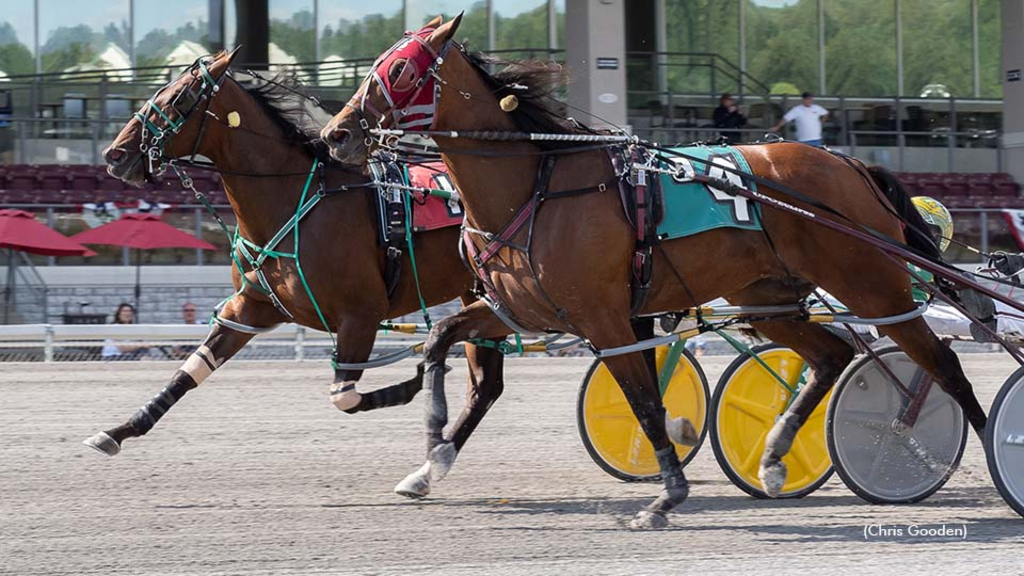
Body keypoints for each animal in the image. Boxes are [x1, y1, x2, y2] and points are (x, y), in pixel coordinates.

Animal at [82, 49, 507, 485]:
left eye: (180, 98)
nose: (115, 154)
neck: (295, 203)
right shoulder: (249, 308)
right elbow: (190, 370)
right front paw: (119, 430)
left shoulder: (361, 315)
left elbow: (345, 396)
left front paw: (412, 383)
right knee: (485, 387)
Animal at [323, 15, 987, 528]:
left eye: (400, 71)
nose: (335, 133)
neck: (534, 186)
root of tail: (849, 164)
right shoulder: (515, 308)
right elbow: (439, 338)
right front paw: (429, 454)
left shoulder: (606, 320)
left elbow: (644, 402)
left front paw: (666, 497)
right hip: (767, 299)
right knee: (831, 354)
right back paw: (774, 456)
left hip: (873, 287)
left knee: (942, 365)